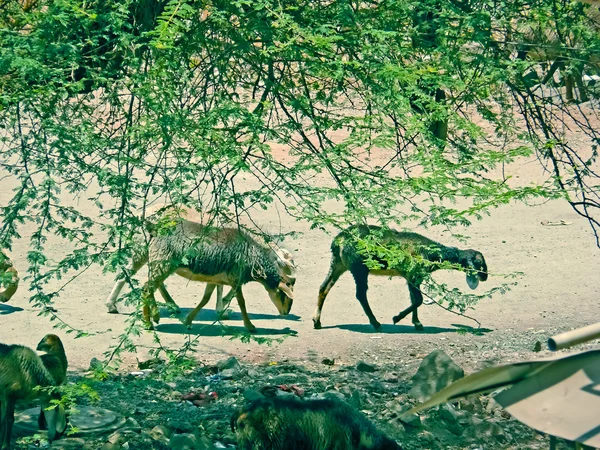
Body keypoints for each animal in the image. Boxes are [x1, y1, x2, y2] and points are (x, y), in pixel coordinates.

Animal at [314, 225, 488, 330]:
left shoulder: (412, 277)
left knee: (324, 287)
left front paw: (417, 323)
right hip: (359, 268)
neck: (434, 254)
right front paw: (397, 318)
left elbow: (414, 299)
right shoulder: (414, 273)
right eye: (479, 263)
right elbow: (418, 300)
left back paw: (317, 321)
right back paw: (375, 323)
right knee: (360, 294)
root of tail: (339, 240)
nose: (485, 277)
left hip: (338, 263)